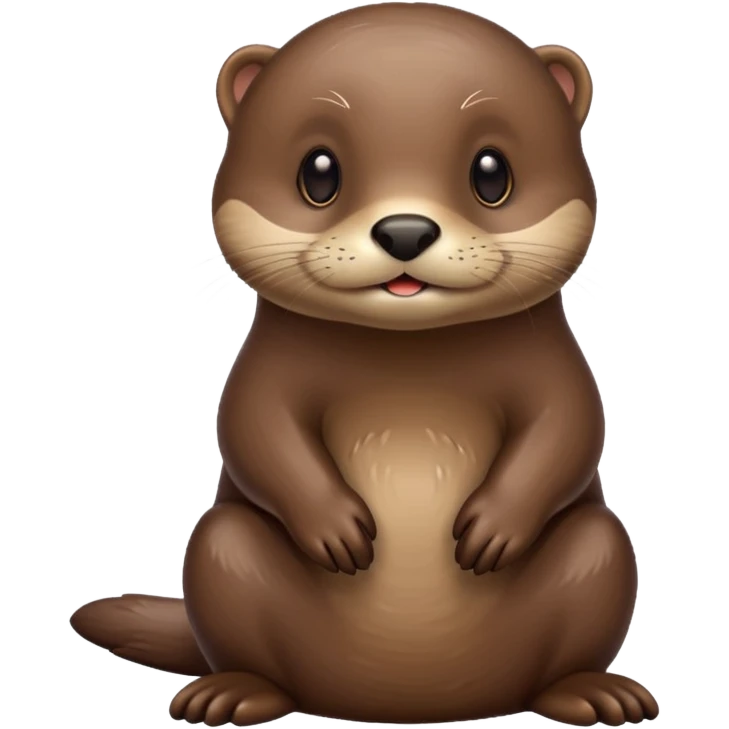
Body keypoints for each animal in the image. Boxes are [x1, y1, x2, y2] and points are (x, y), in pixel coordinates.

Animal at [70, 4, 659, 727]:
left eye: (491, 173)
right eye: (319, 172)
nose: (405, 230)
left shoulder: (553, 367)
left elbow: (569, 424)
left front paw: (494, 528)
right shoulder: (266, 371)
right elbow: (253, 426)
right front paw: (335, 528)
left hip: (599, 551)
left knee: (587, 585)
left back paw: (593, 691)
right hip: (222, 551)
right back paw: (232, 692)